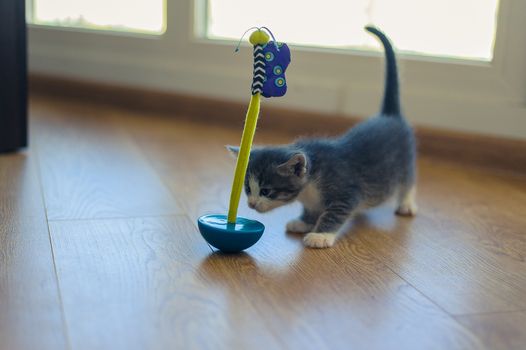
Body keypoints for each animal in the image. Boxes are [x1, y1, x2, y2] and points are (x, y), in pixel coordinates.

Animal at [229, 26, 418, 247]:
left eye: (266, 191)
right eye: (248, 189)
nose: (251, 204)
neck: (310, 185)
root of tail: (389, 115)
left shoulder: (347, 192)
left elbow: (334, 214)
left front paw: (321, 235)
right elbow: (312, 210)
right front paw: (304, 222)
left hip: (405, 162)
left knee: (408, 182)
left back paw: (406, 204)